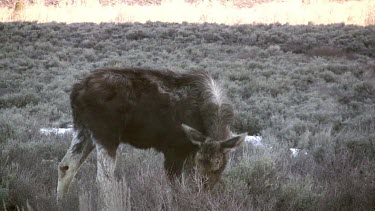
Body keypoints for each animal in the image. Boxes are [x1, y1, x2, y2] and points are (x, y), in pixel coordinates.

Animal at [56, 67, 247, 201]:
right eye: (202, 161)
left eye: (218, 163)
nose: (204, 187)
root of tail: (76, 91)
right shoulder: (174, 150)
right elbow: (176, 188)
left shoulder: (189, 152)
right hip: (106, 134)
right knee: (104, 179)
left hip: (83, 129)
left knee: (66, 165)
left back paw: (60, 202)